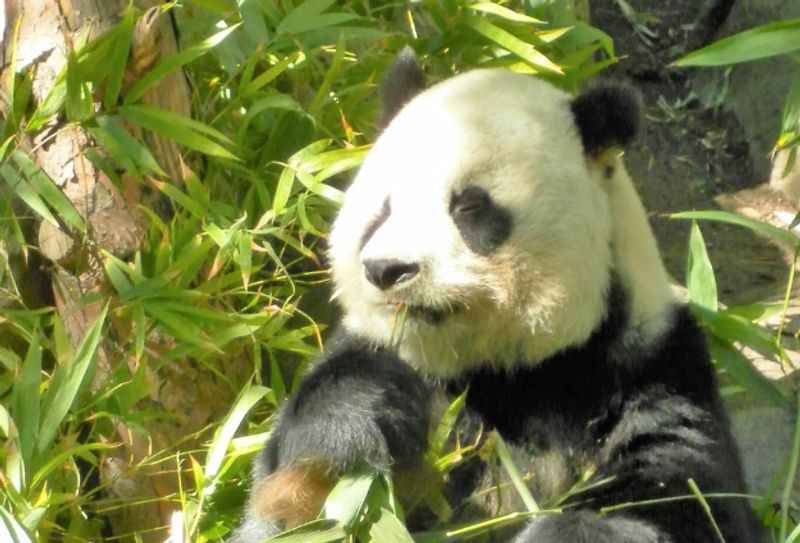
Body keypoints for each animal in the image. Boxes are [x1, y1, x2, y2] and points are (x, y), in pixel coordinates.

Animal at [230, 49, 764, 540]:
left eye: (468, 206)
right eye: (382, 210)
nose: (387, 269)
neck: (508, 373)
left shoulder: (649, 371)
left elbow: (683, 499)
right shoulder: (389, 364)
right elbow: (292, 470)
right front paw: (351, 435)